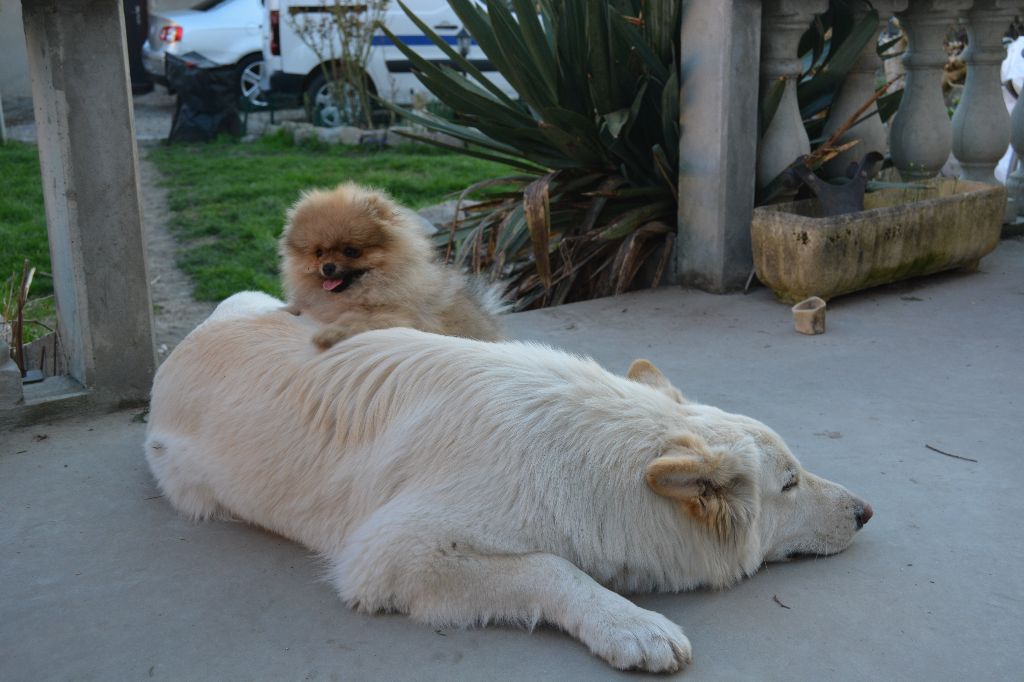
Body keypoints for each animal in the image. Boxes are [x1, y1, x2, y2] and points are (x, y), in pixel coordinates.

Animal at [148, 292, 872, 667]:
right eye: (789, 484)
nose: (867, 512)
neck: (590, 458)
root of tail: (189, 338)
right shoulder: (392, 552)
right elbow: (551, 567)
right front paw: (629, 624)